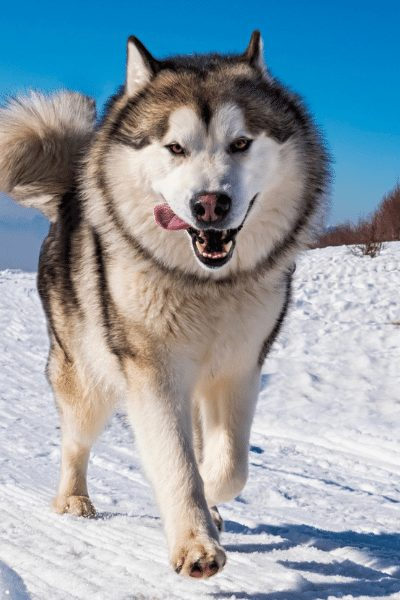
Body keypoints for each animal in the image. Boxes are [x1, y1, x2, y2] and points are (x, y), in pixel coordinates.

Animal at [0, 31, 328, 576]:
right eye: (175, 147)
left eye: (241, 143)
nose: (210, 204)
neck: (204, 284)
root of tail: (68, 195)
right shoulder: (152, 368)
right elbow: (177, 460)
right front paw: (195, 543)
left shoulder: (240, 367)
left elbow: (229, 465)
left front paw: (210, 499)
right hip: (85, 374)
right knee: (75, 440)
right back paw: (73, 500)